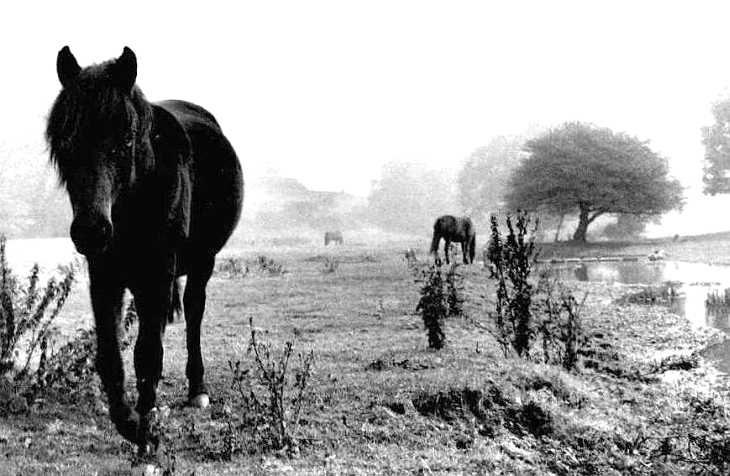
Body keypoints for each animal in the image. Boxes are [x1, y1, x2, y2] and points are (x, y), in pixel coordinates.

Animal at [46, 46, 244, 451]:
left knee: (194, 313)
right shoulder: (104, 274)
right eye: (66, 141)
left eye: (126, 138)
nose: (91, 230)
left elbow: (148, 354)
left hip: (203, 261)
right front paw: (127, 420)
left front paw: (146, 430)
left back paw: (197, 389)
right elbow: (110, 354)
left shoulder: (159, 272)